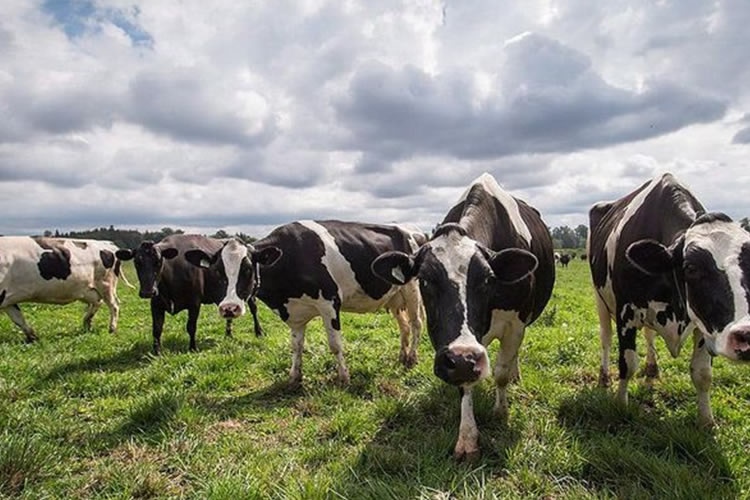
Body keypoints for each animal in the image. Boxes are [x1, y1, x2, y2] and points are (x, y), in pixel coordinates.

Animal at [183, 221, 426, 384]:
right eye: (216, 271)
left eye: (248, 269)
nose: (229, 308)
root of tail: (416, 232)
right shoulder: (295, 313)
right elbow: (296, 345)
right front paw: (294, 376)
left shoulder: (330, 303)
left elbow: (335, 345)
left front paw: (344, 377)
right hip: (394, 296)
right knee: (404, 326)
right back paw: (402, 356)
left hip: (412, 289)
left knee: (416, 324)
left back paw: (412, 358)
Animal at [372, 173, 556, 460]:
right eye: (424, 280)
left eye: (488, 279)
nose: (461, 359)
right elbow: (465, 385)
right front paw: (468, 439)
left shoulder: (515, 324)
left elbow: (501, 372)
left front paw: (500, 411)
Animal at [588, 172, 750, 426]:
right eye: (691, 268)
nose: (745, 336)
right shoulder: (626, 313)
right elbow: (627, 363)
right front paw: (621, 406)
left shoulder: (703, 323)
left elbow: (702, 373)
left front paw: (706, 421)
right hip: (600, 299)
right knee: (606, 337)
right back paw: (604, 377)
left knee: (649, 335)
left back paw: (652, 369)